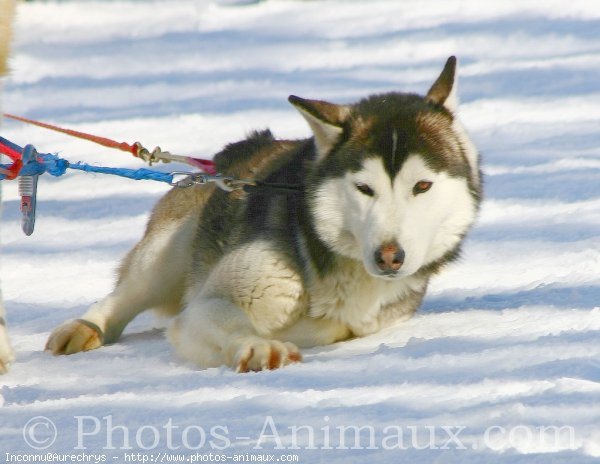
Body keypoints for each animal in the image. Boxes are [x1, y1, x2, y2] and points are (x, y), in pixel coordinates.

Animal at [45, 56, 482, 372]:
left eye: (421, 186)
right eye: (364, 188)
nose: (389, 256)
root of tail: (221, 160)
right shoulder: (207, 306)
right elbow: (223, 320)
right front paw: (256, 346)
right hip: (167, 254)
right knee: (123, 297)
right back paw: (83, 328)